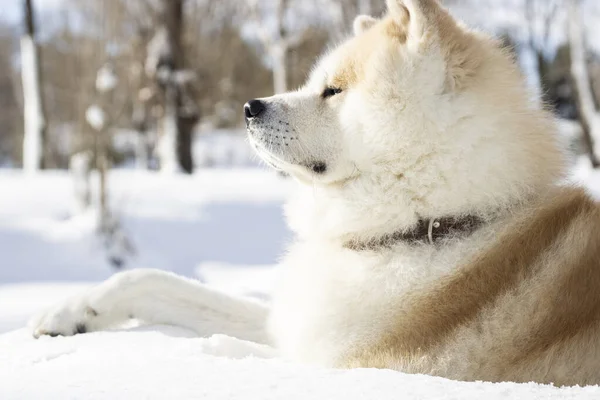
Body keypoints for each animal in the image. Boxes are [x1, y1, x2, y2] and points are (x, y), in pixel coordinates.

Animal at [31, 0, 600, 388]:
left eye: (333, 90)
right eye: (314, 83)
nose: (249, 107)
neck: (430, 224)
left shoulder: (339, 362)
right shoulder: (295, 324)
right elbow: (153, 281)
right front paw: (72, 310)